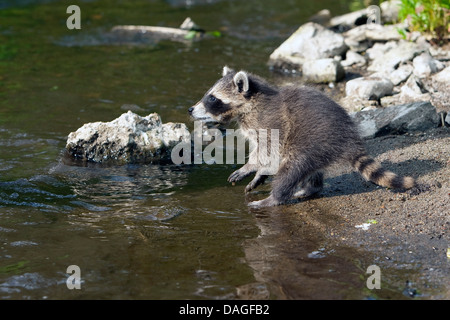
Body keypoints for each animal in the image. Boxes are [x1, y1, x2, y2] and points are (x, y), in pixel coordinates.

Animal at [187, 66, 414, 209]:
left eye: (212, 98)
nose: (190, 109)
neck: (251, 103)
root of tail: (349, 139)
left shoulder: (270, 124)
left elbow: (267, 151)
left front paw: (250, 167)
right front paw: (259, 173)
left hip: (313, 142)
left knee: (291, 168)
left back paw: (274, 198)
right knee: (311, 171)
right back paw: (311, 187)